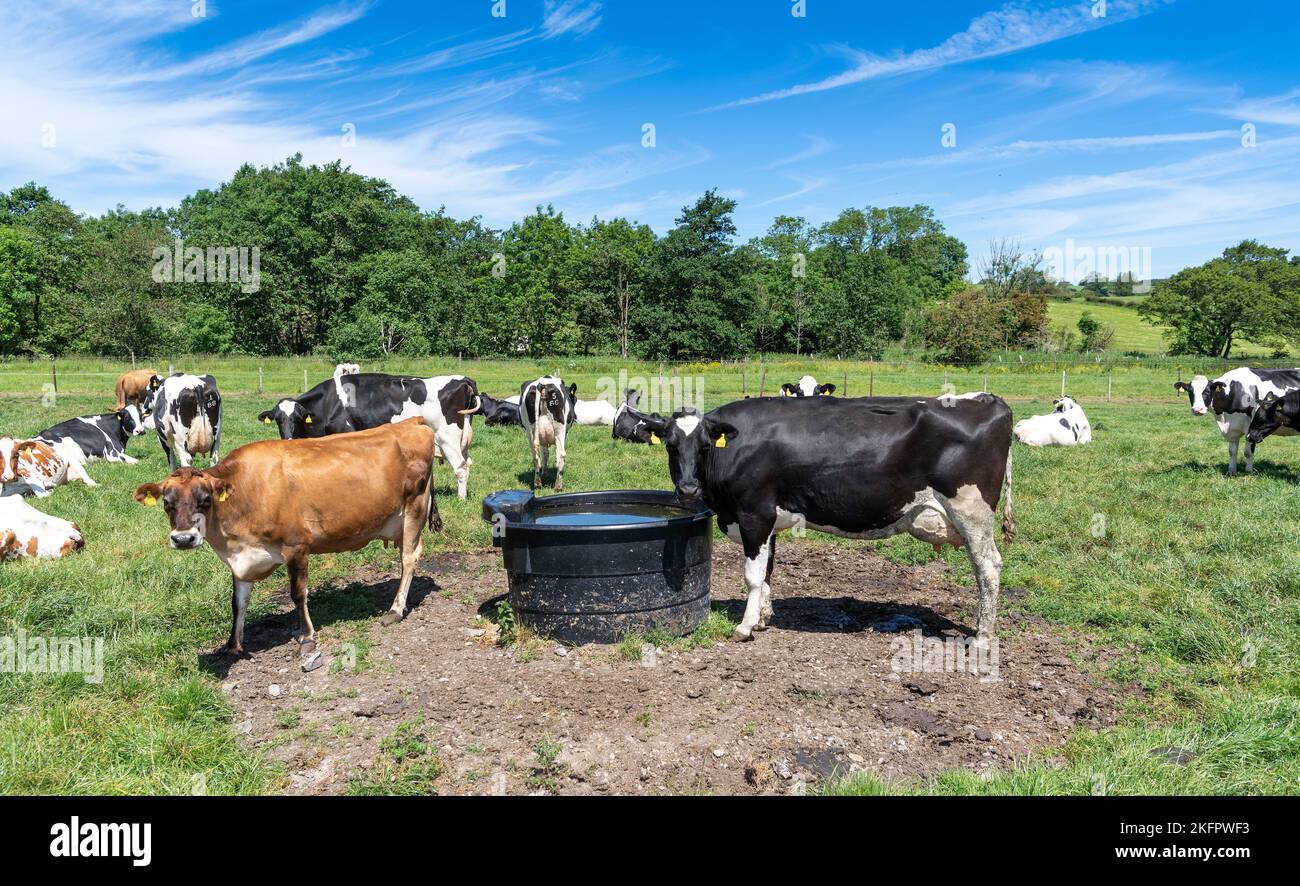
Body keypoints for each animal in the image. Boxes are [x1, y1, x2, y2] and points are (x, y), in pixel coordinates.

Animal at [133, 419, 441, 656]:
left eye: (205, 500)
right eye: (167, 503)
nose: (183, 539)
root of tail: (412, 422)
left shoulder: (297, 545)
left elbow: (298, 593)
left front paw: (306, 637)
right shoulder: (241, 559)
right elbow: (238, 602)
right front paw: (233, 644)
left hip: (414, 507)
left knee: (409, 558)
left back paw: (395, 609)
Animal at [257, 373, 479, 499]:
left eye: (297, 418)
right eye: (278, 420)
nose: (287, 439)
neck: (329, 403)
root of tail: (462, 379)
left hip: (447, 439)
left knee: (460, 468)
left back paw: (461, 499)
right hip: (462, 442)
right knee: (467, 464)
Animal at [633, 395, 1015, 643]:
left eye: (704, 446)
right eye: (670, 445)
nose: (687, 488)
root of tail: (988, 400)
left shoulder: (754, 514)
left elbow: (753, 576)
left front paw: (745, 626)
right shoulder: (770, 520)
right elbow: (768, 571)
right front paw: (763, 619)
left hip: (971, 512)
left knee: (989, 567)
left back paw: (983, 634)